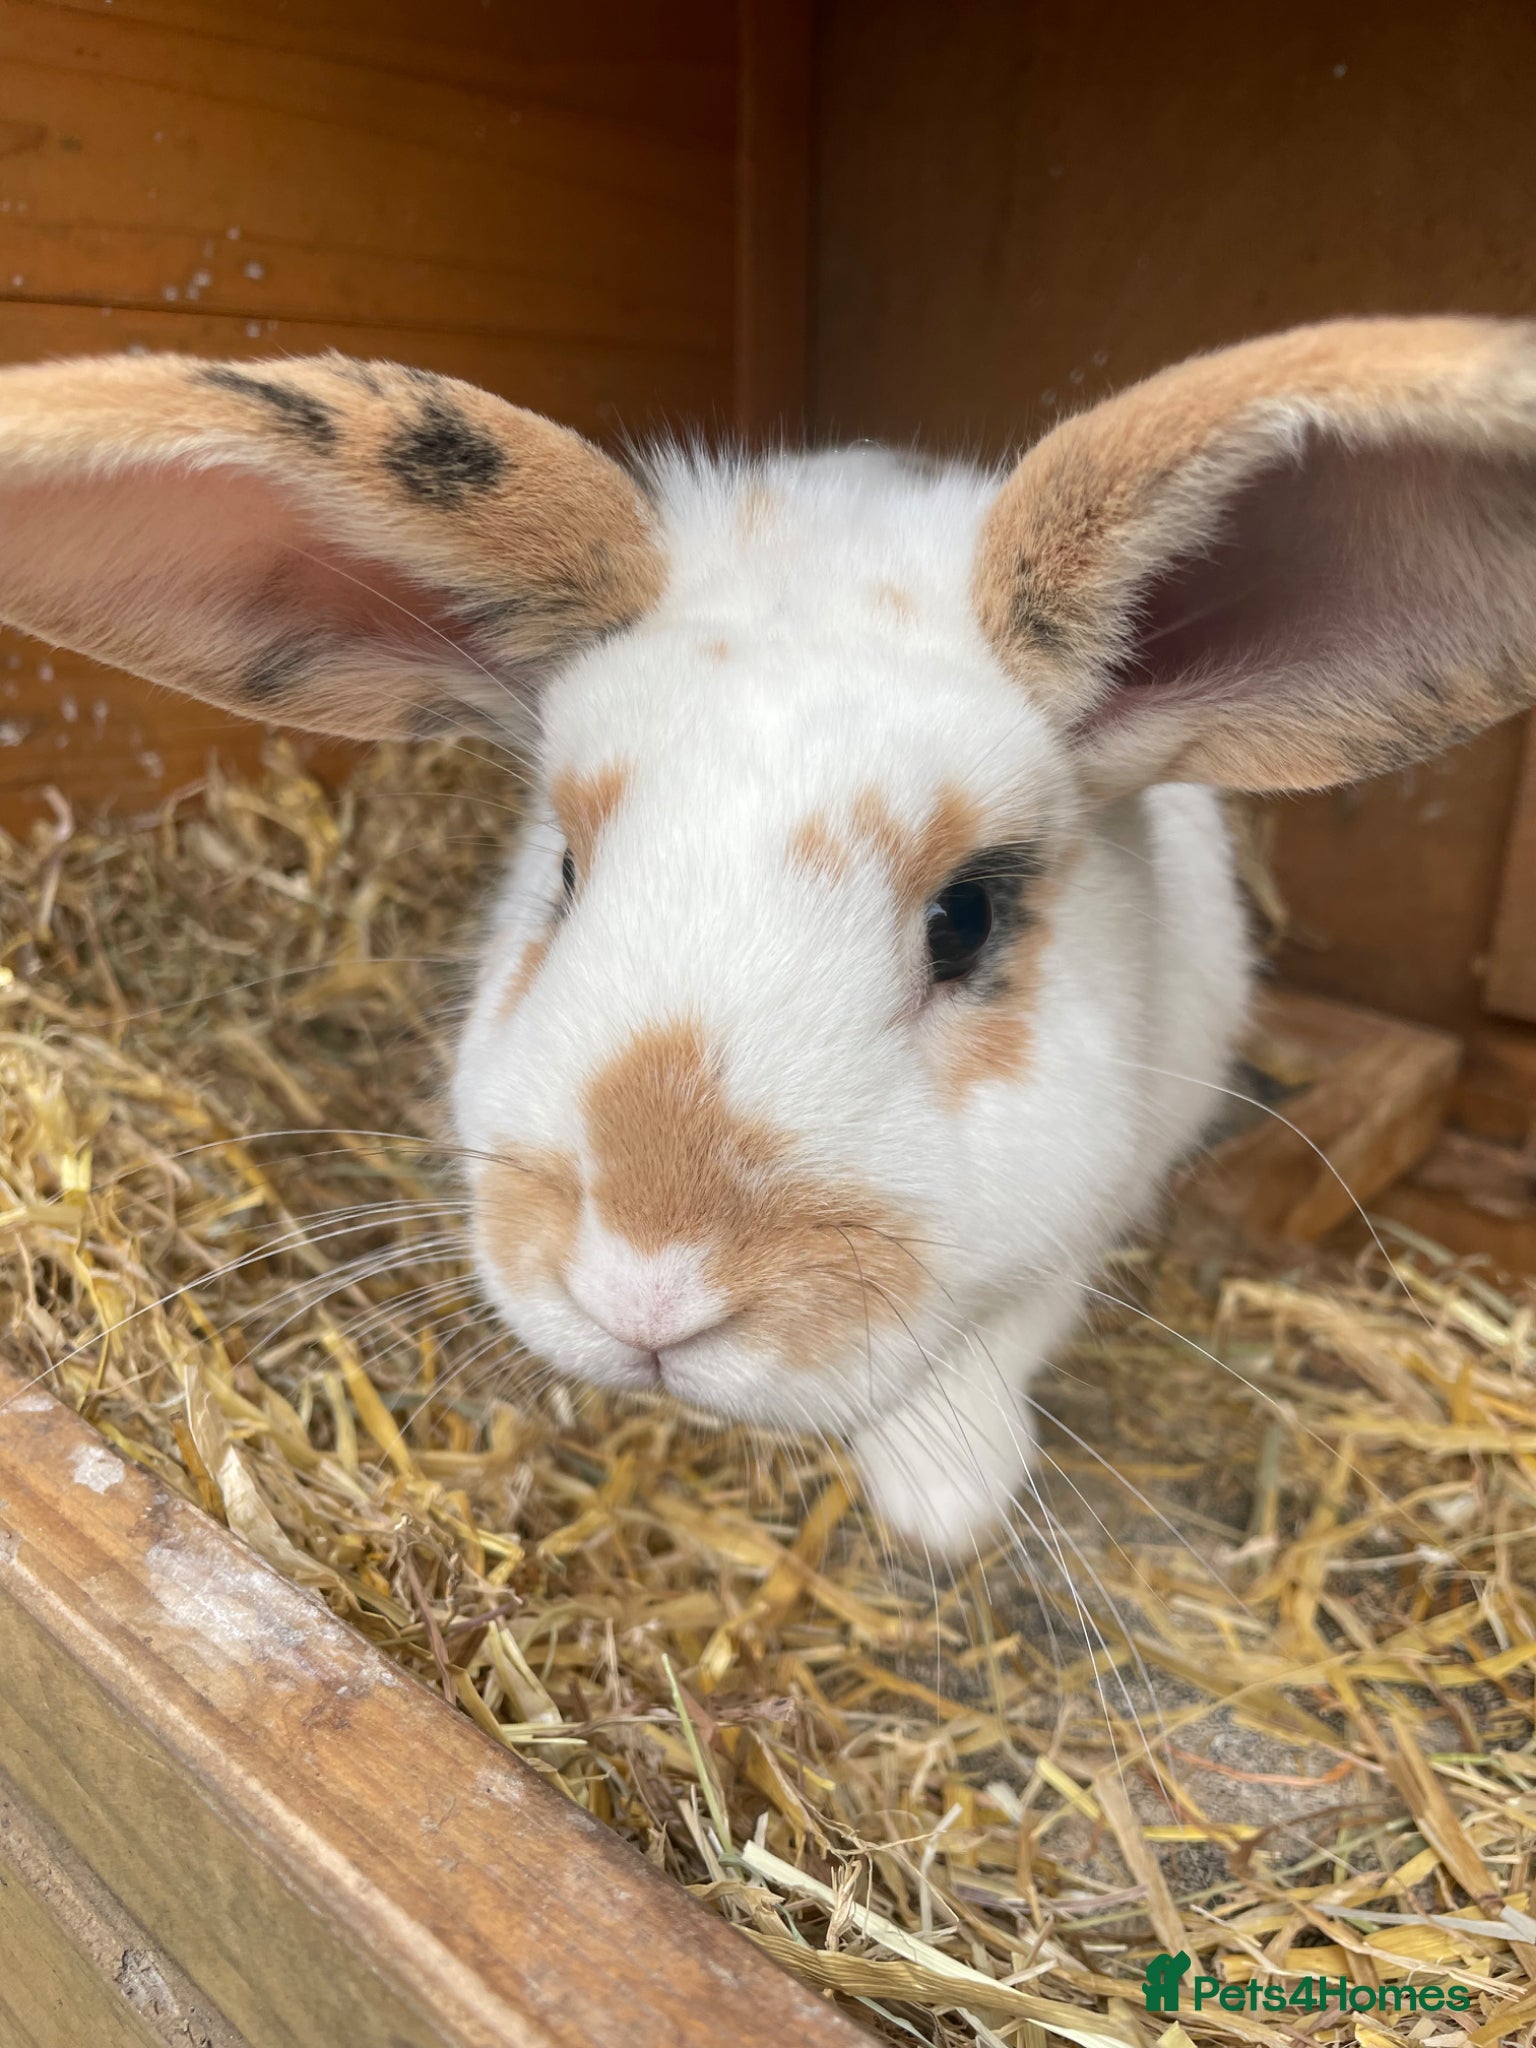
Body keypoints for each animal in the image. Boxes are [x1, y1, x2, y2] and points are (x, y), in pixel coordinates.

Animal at [1, 318, 1534, 1555]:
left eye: (968, 917)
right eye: (565, 868)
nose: (647, 1290)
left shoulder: (1098, 1192)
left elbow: (1017, 1319)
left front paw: (942, 1500)